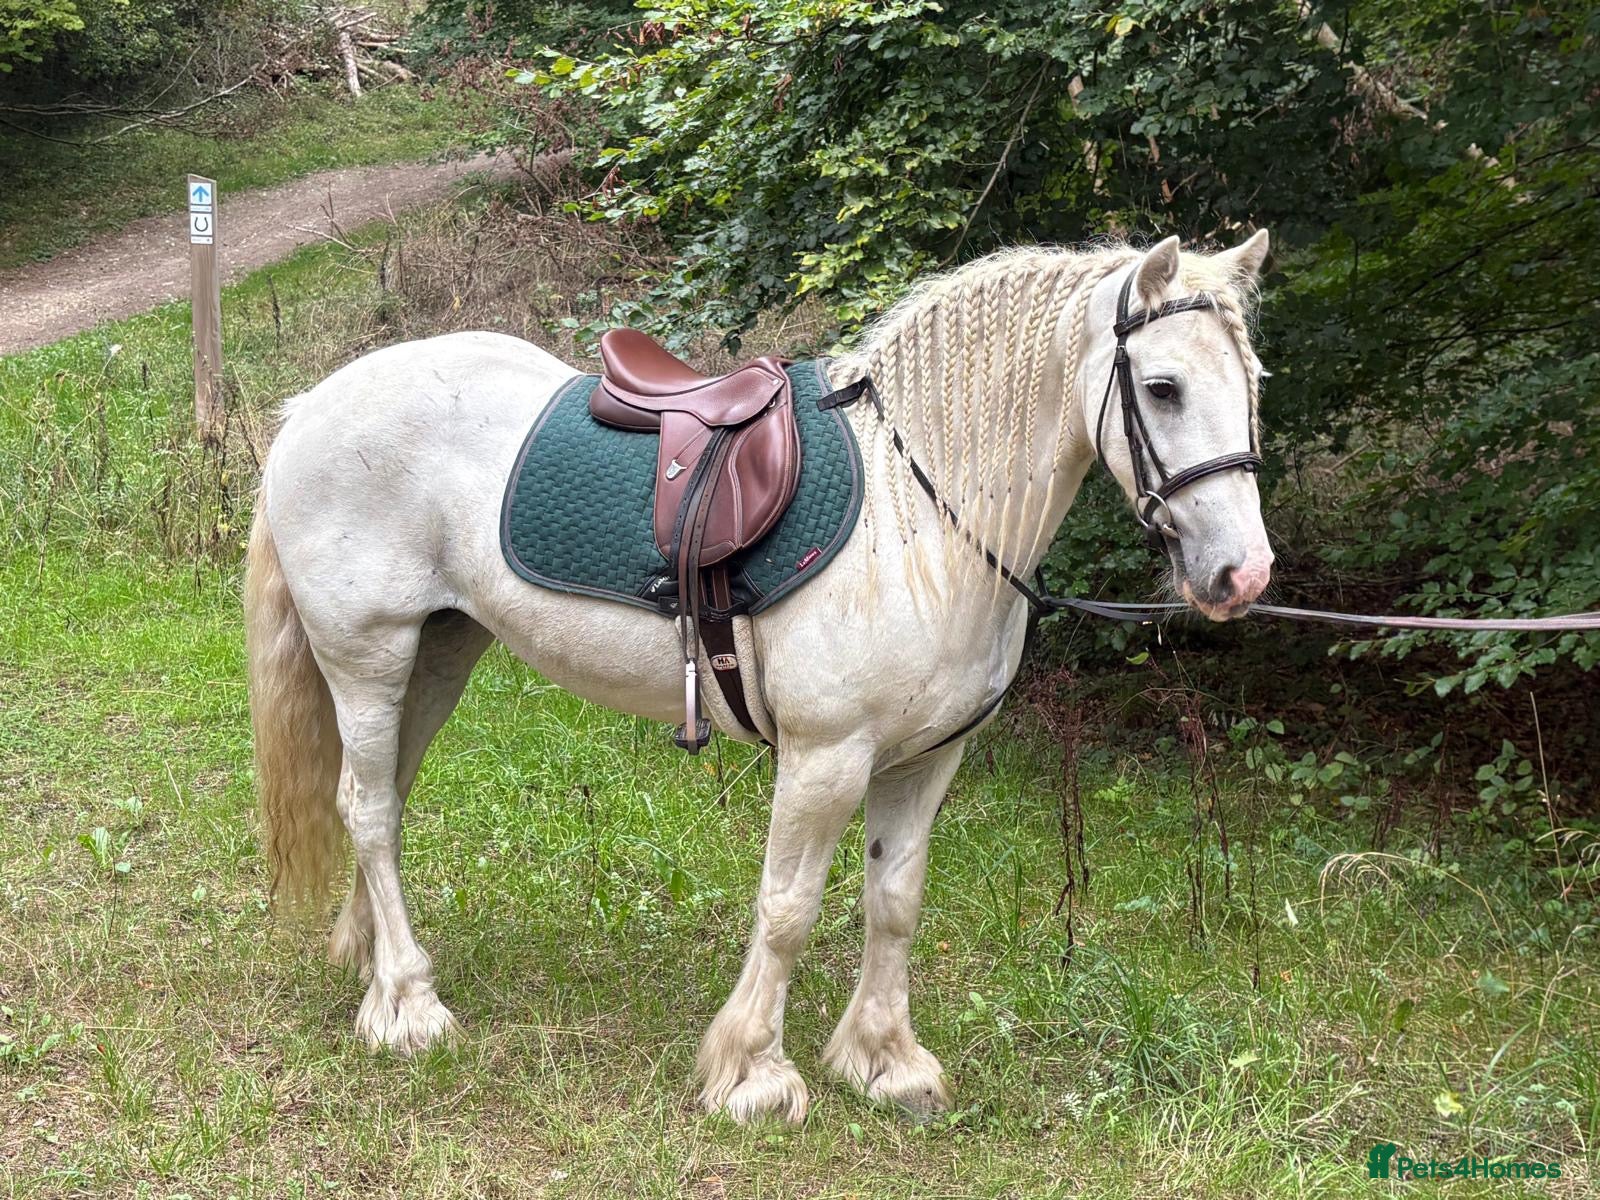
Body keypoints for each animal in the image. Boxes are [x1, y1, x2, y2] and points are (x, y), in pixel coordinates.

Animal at [243, 231, 1275, 1125]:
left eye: (1253, 384)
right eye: (1163, 386)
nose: (1243, 574)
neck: (913, 517)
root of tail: (312, 406)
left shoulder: (925, 760)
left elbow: (894, 901)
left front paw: (884, 1060)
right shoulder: (826, 758)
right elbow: (788, 911)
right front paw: (753, 1074)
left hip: (439, 655)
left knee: (385, 798)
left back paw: (375, 967)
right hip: (368, 657)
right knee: (367, 808)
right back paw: (409, 1006)